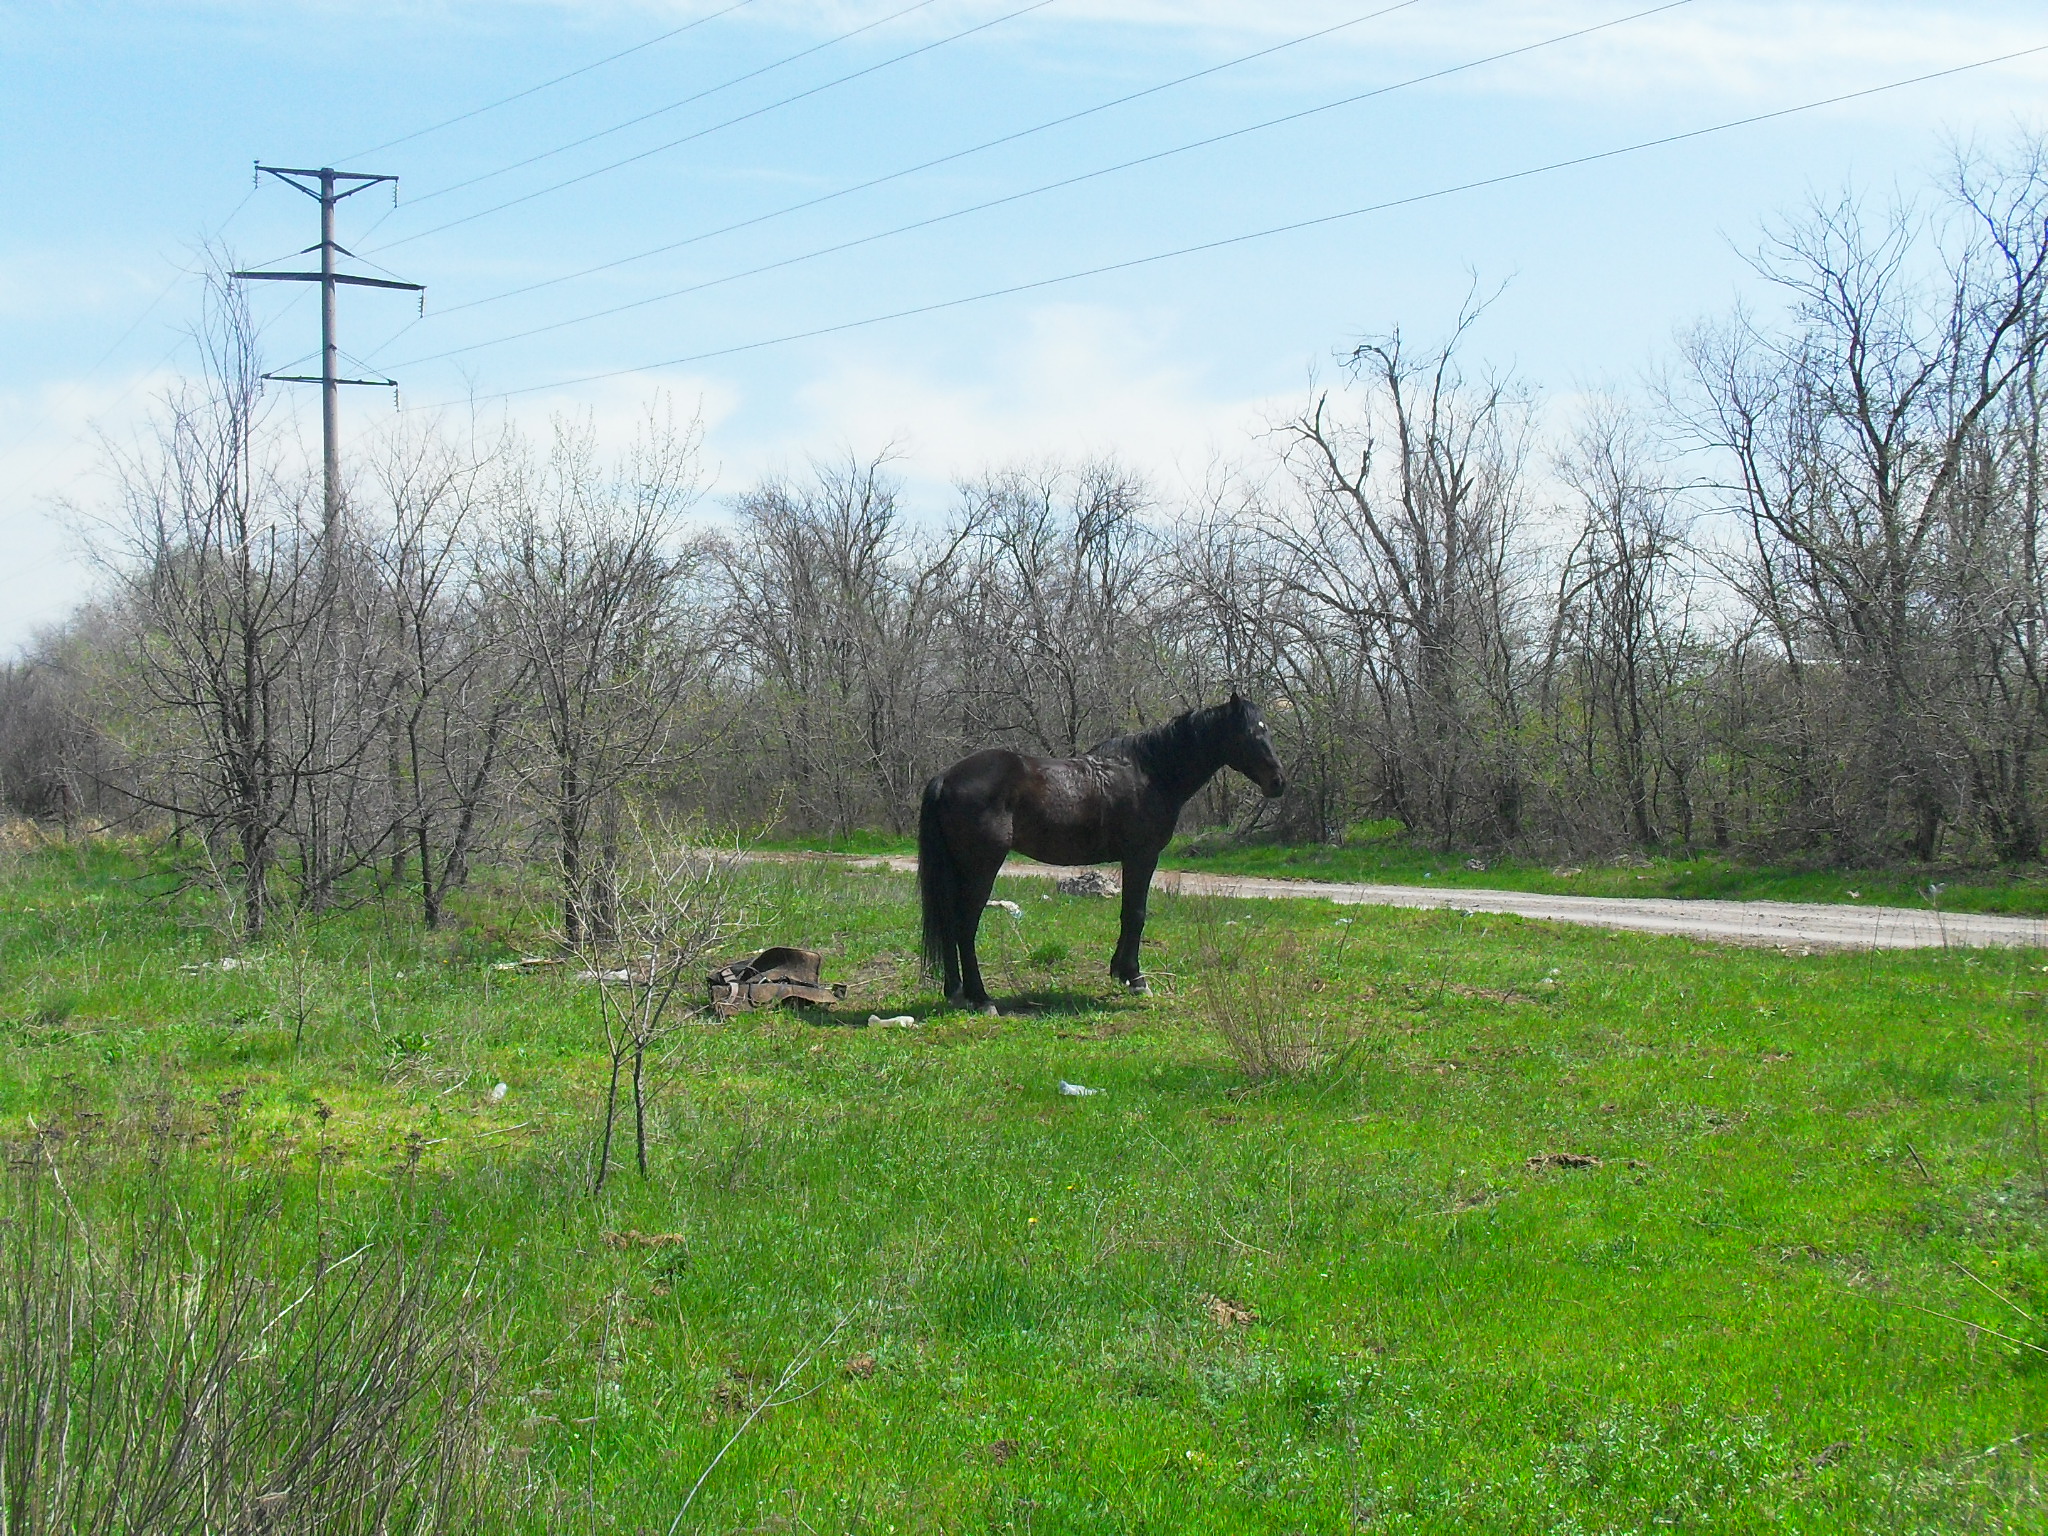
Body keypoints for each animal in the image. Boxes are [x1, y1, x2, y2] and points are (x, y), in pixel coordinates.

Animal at [925, 696, 1277, 1011]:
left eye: (1266, 730)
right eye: (1249, 734)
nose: (1279, 782)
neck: (1151, 773)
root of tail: (945, 778)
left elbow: (1127, 913)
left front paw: (1120, 971)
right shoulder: (1141, 857)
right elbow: (1136, 914)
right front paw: (1136, 979)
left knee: (949, 921)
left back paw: (956, 992)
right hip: (981, 869)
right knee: (965, 925)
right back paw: (981, 998)